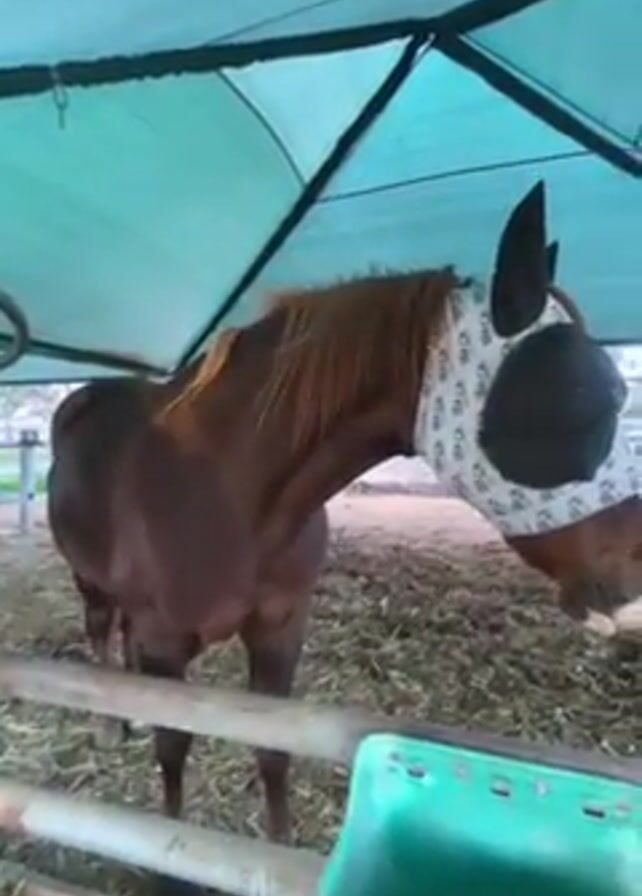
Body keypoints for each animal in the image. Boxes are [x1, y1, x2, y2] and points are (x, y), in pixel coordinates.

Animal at [48, 180, 642, 853]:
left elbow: (273, 751)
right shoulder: (165, 642)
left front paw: (277, 848)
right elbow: (173, 750)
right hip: (90, 581)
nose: (631, 592)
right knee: (100, 630)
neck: (231, 491)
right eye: (584, 397)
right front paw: (161, 852)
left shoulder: (280, 628)